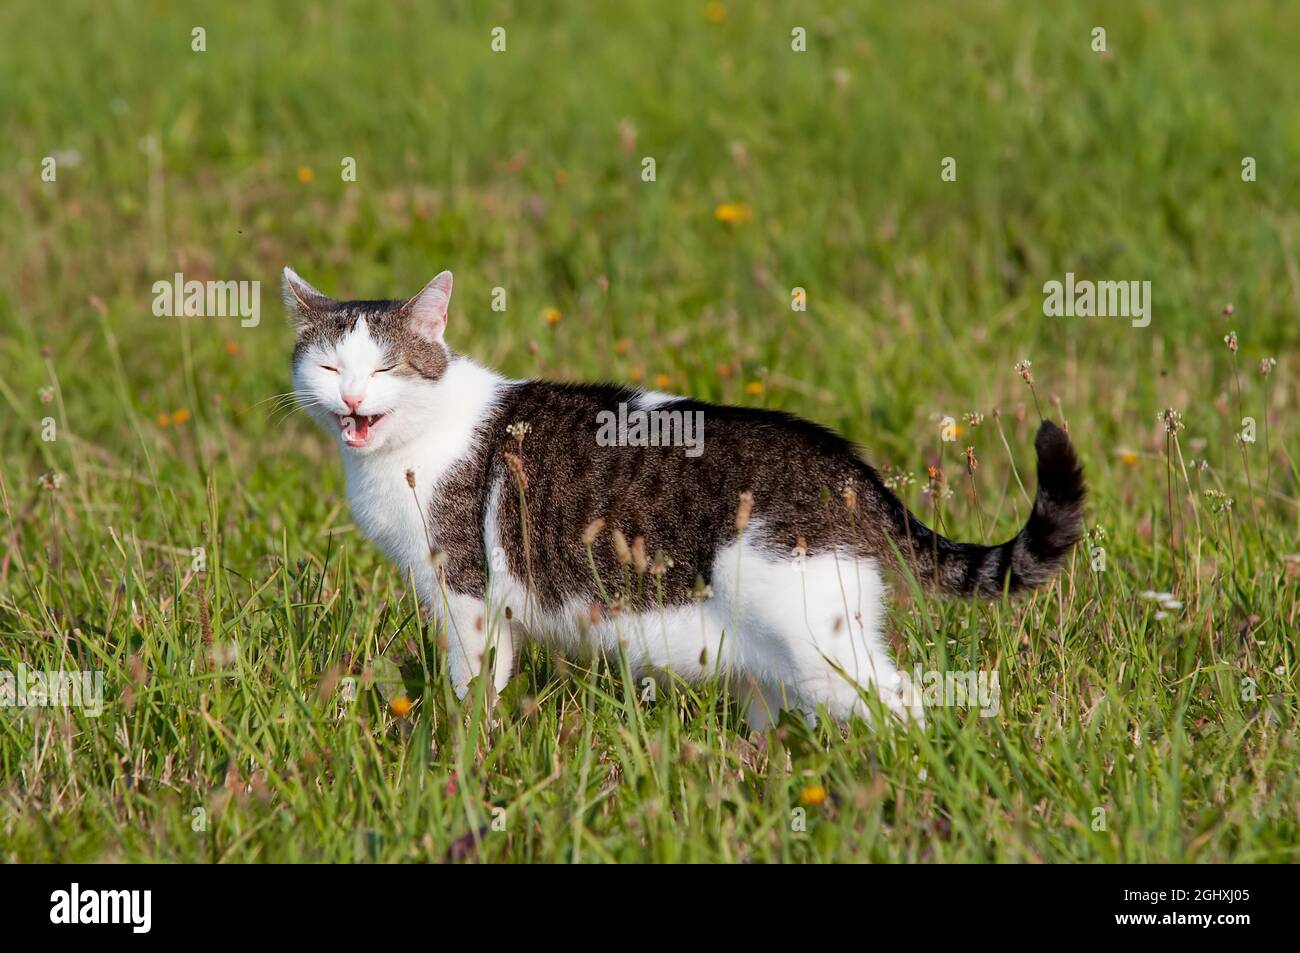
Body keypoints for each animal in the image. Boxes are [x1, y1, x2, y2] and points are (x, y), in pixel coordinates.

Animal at [287, 267, 1086, 728]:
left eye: (385, 367)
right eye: (328, 366)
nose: (352, 397)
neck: (415, 442)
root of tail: (841, 459)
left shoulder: (465, 594)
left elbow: (470, 689)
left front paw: (456, 760)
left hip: (823, 643)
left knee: (908, 706)